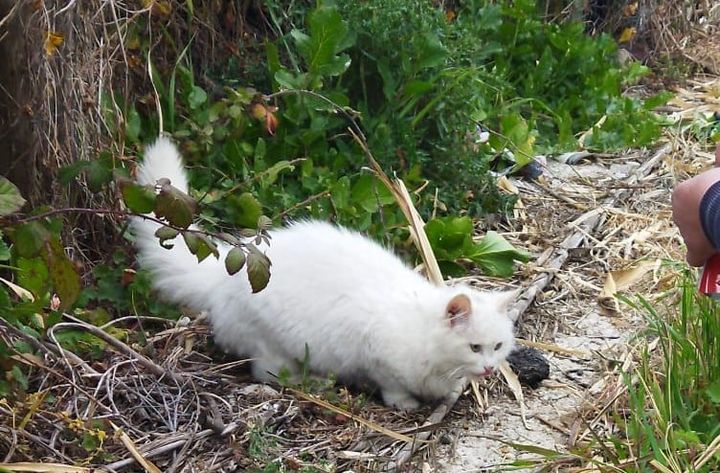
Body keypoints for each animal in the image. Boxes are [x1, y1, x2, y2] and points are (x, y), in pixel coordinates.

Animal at [132, 136, 516, 410]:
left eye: (498, 346)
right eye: (474, 347)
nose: (489, 368)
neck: (427, 338)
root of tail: (228, 268)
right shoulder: (376, 351)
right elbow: (392, 385)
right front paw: (406, 402)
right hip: (273, 344)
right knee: (271, 373)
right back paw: (316, 383)